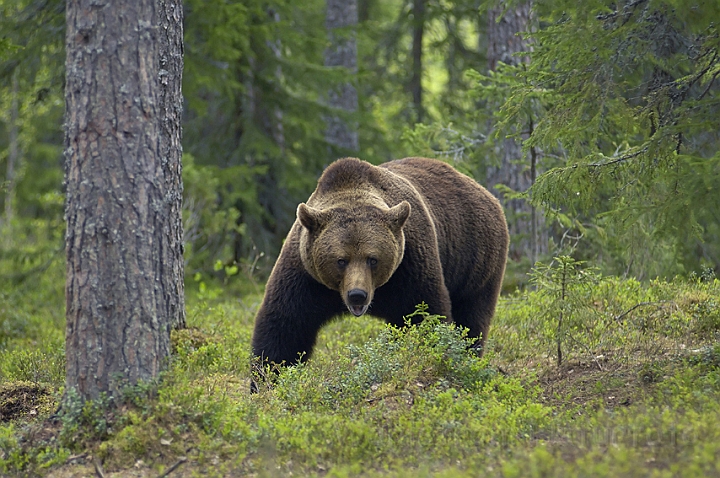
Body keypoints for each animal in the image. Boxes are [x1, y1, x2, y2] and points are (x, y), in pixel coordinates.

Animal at [250, 157, 510, 370]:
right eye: (341, 260)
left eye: (372, 259)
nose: (357, 295)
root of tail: (485, 193)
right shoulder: (305, 275)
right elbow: (285, 326)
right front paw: (267, 379)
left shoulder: (409, 267)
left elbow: (423, 314)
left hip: (476, 257)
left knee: (472, 316)